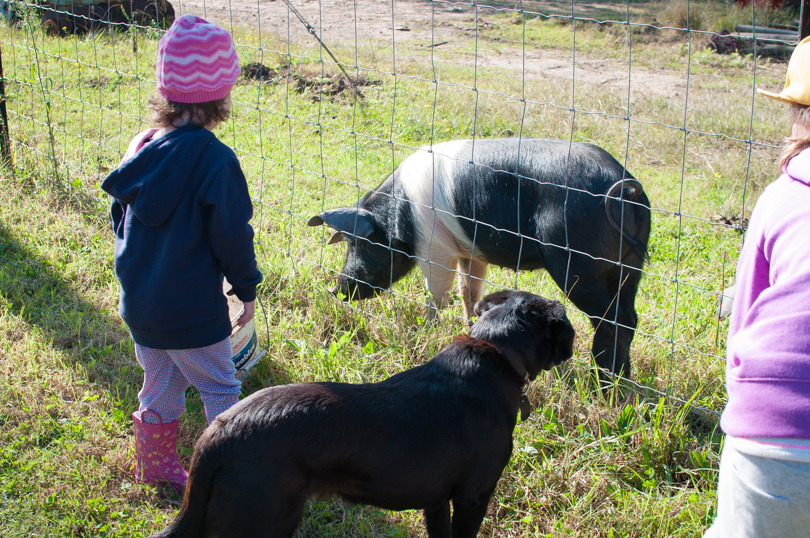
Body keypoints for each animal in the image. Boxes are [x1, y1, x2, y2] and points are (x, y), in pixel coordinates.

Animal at [306, 136, 648, 374]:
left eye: (357, 244)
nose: (334, 290)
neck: (399, 214)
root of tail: (626, 189)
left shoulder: (434, 248)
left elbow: (437, 294)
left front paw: (427, 332)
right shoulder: (471, 252)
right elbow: (468, 290)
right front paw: (470, 326)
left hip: (575, 261)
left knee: (612, 320)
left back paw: (603, 381)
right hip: (630, 266)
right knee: (630, 317)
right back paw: (618, 380)